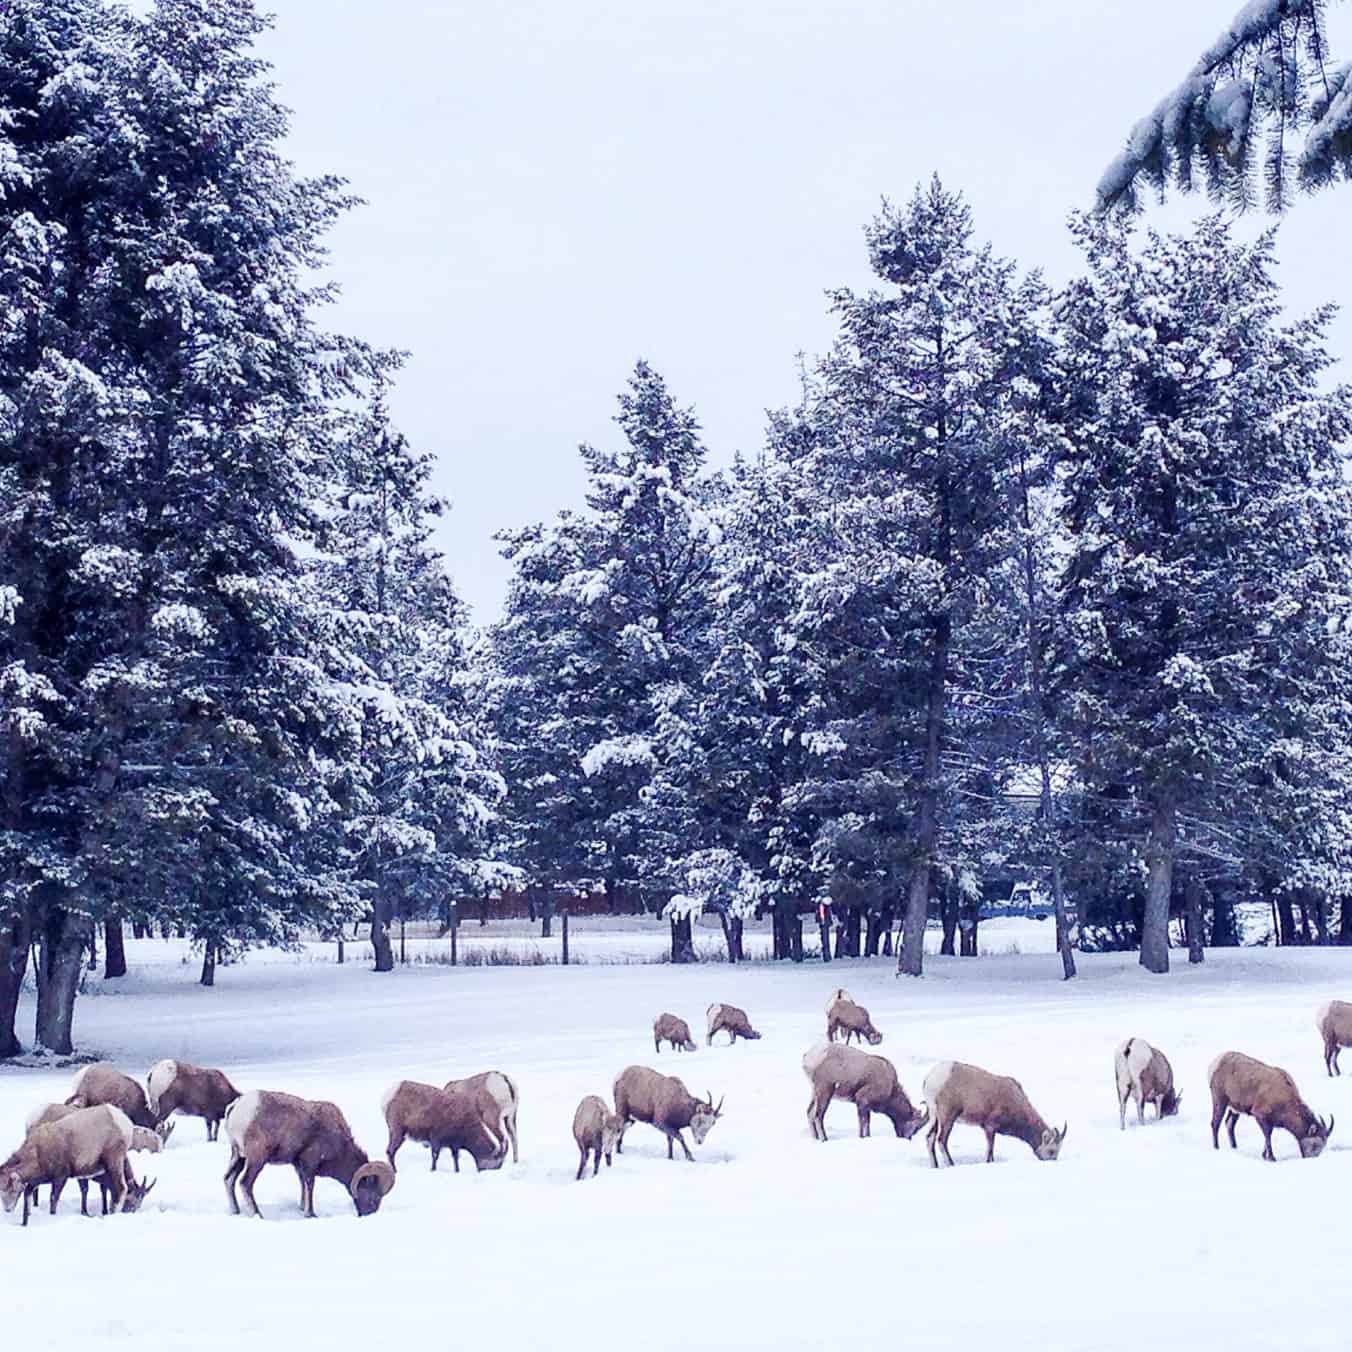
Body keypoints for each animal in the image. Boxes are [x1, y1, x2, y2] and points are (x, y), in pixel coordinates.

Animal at [0, 1103, 139, 1233]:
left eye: (12, 1190)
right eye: (1, 1191)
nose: (7, 1209)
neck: (38, 1154)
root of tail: (124, 1121)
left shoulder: (60, 1178)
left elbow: (53, 1199)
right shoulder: (36, 1182)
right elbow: (28, 1198)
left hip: (114, 1161)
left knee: (120, 1188)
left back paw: (112, 1213)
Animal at [224, 1092, 394, 1222]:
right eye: (374, 1197)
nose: (368, 1215)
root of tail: (236, 1107)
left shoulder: (299, 1166)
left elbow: (303, 1186)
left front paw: (301, 1208)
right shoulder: (310, 1164)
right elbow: (310, 1186)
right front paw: (310, 1214)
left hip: (238, 1156)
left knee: (228, 1179)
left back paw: (235, 1211)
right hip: (256, 1159)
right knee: (245, 1183)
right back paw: (258, 1215)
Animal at [800, 1032, 930, 1141]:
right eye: (916, 1127)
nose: (907, 1138)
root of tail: (809, 1057)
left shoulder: (865, 1106)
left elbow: (867, 1123)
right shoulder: (862, 1101)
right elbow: (863, 1123)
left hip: (815, 1092)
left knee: (809, 1113)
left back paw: (816, 1138)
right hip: (825, 1091)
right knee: (818, 1116)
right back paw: (824, 1139)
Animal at [919, 1059, 1065, 1168]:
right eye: (1051, 1151)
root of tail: (930, 1078)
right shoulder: (990, 1127)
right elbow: (989, 1151)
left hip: (934, 1116)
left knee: (929, 1138)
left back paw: (935, 1166)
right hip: (947, 1117)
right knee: (941, 1140)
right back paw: (951, 1164)